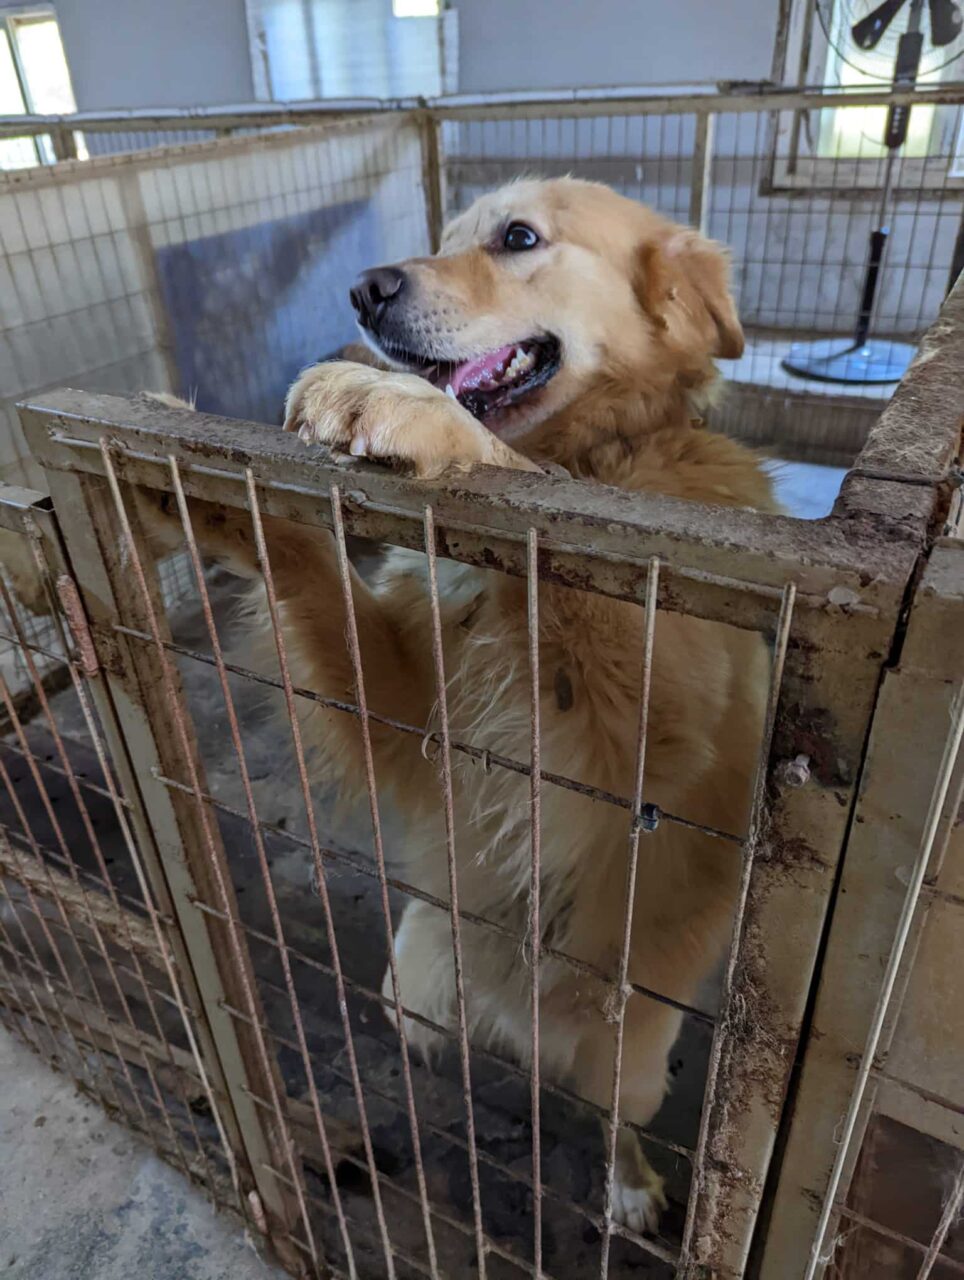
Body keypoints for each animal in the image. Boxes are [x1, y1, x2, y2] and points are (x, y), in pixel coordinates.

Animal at [140, 177, 773, 1228]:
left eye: (519, 238)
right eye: (444, 238)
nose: (363, 291)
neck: (604, 448)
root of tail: (527, 1025)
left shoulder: (656, 740)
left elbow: (541, 501)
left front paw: (406, 411)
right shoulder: (404, 713)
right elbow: (318, 579)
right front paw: (217, 485)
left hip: (631, 1059)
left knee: (611, 1116)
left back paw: (631, 1187)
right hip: (414, 973)